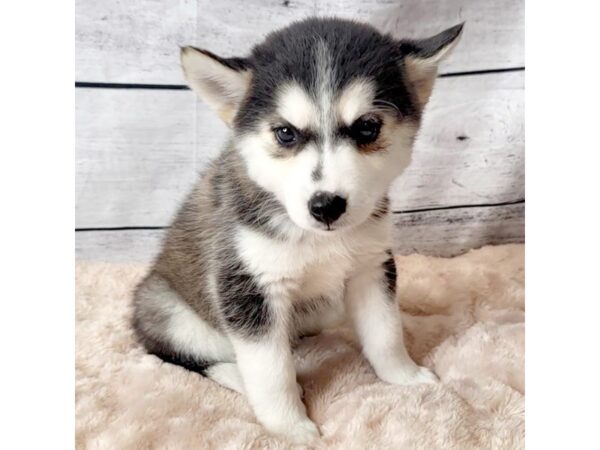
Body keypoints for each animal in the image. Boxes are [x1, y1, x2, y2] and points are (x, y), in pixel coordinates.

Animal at [134, 16, 464, 442]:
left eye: (367, 128)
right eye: (286, 133)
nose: (326, 205)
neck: (318, 239)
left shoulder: (371, 266)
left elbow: (386, 333)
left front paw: (404, 377)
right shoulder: (249, 287)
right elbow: (270, 373)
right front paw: (290, 428)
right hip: (168, 311)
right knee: (187, 358)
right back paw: (237, 376)